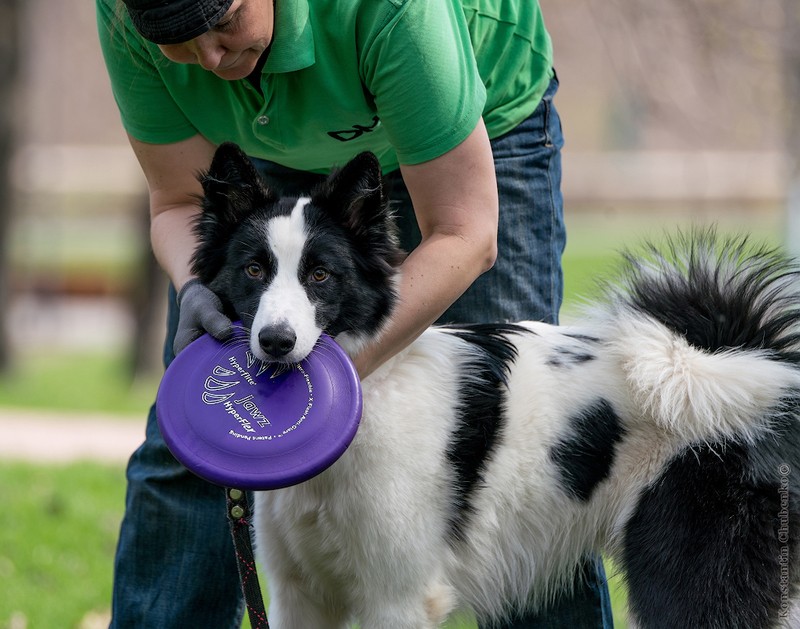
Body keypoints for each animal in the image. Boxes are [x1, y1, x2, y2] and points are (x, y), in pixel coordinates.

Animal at [192, 142, 800, 628]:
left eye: (320, 275)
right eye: (253, 270)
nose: (275, 341)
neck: (375, 390)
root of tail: (748, 357)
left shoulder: (398, 599)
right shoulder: (300, 595)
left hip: (690, 581)